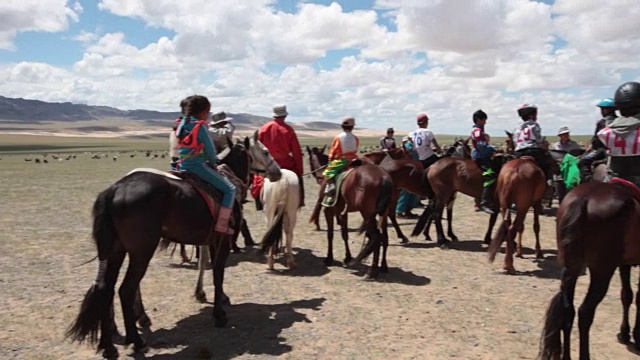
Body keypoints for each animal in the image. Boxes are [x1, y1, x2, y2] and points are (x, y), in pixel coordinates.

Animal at [65, 136, 272, 358]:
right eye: (265, 151)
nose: (275, 171)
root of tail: (113, 191)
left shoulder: (208, 240)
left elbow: (205, 266)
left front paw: (205, 295)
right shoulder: (222, 240)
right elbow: (218, 274)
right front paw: (219, 315)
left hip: (115, 250)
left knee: (106, 288)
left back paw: (109, 346)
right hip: (141, 251)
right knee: (126, 289)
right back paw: (137, 340)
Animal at [540, 181, 640, 360]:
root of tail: (584, 199)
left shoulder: (625, 263)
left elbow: (627, 295)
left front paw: (625, 333)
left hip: (572, 268)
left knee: (568, 311)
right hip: (602, 271)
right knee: (585, 312)